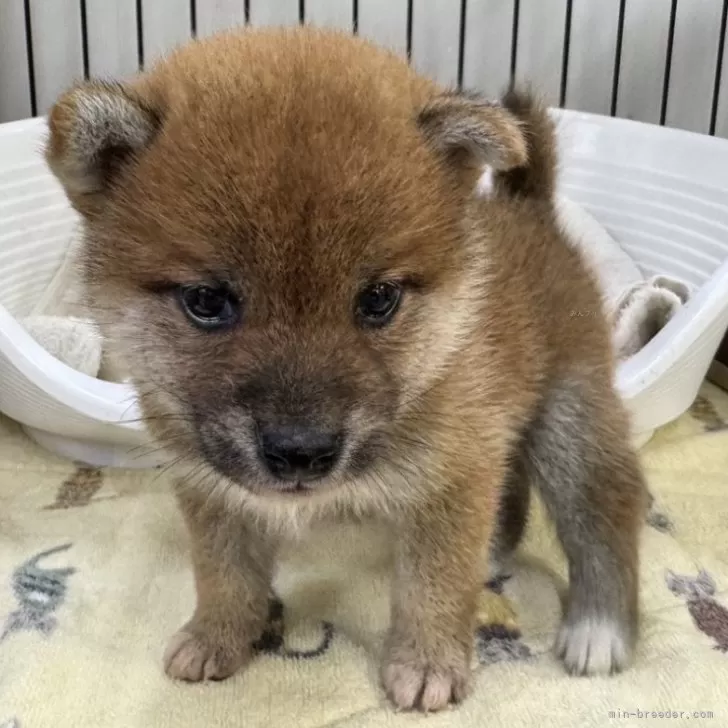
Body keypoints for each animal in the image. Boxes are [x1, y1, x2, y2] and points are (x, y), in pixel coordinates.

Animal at [47, 28, 644, 712]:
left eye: (378, 299)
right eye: (206, 301)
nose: (300, 452)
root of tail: (530, 207)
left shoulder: (452, 474)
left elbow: (433, 585)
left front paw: (428, 662)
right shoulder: (213, 490)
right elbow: (224, 573)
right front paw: (219, 634)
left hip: (572, 417)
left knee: (605, 509)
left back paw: (598, 630)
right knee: (512, 486)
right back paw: (494, 553)